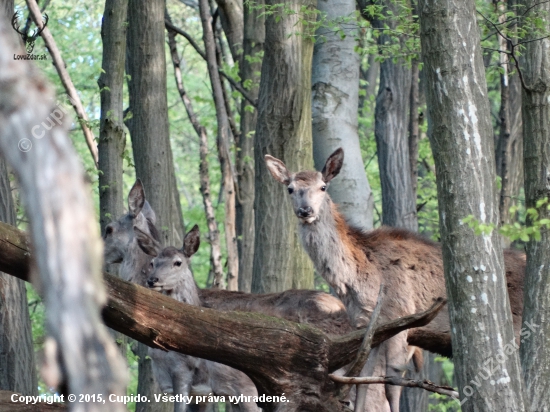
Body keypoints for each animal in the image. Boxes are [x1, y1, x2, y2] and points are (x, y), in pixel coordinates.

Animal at [266, 148, 528, 412]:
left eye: (322, 187)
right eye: (290, 188)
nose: (306, 211)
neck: (358, 282)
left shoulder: (401, 316)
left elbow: (391, 384)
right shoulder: (367, 326)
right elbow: (362, 379)